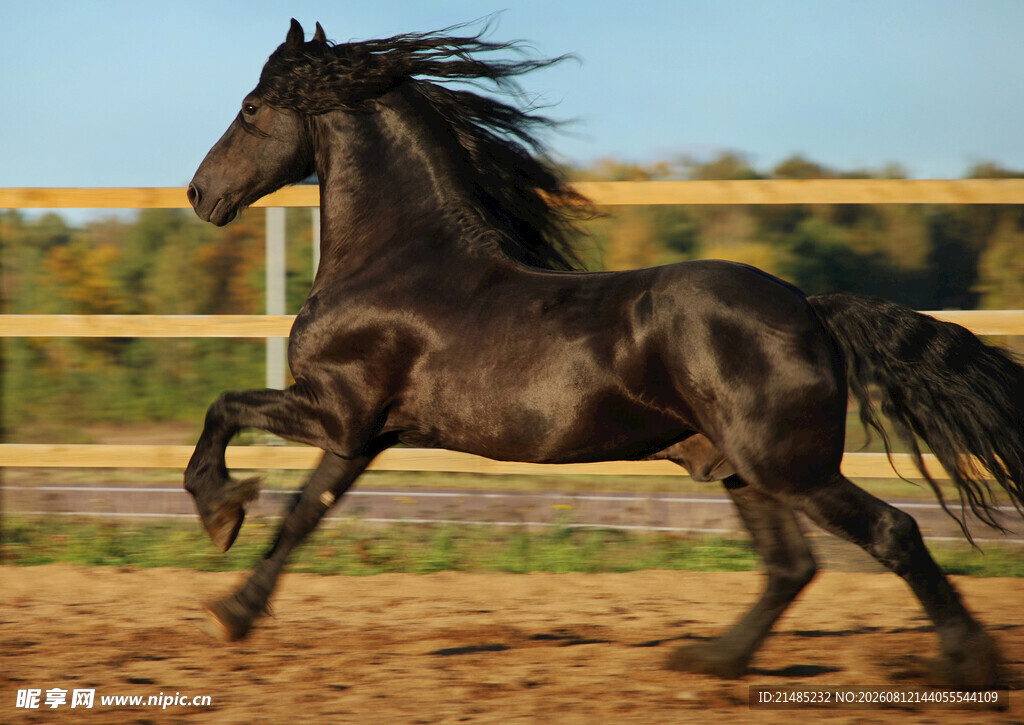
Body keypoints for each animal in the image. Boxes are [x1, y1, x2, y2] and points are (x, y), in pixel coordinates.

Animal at [185, 19, 1024, 689]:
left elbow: (225, 413)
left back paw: (967, 662)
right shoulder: (360, 435)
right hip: (741, 467)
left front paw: (221, 512)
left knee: (892, 533)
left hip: (790, 465)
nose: (198, 194)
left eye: (252, 107)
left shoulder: (335, 409)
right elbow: (302, 516)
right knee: (792, 565)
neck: (398, 260)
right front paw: (232, 609)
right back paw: (711, 659)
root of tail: (809, 308)